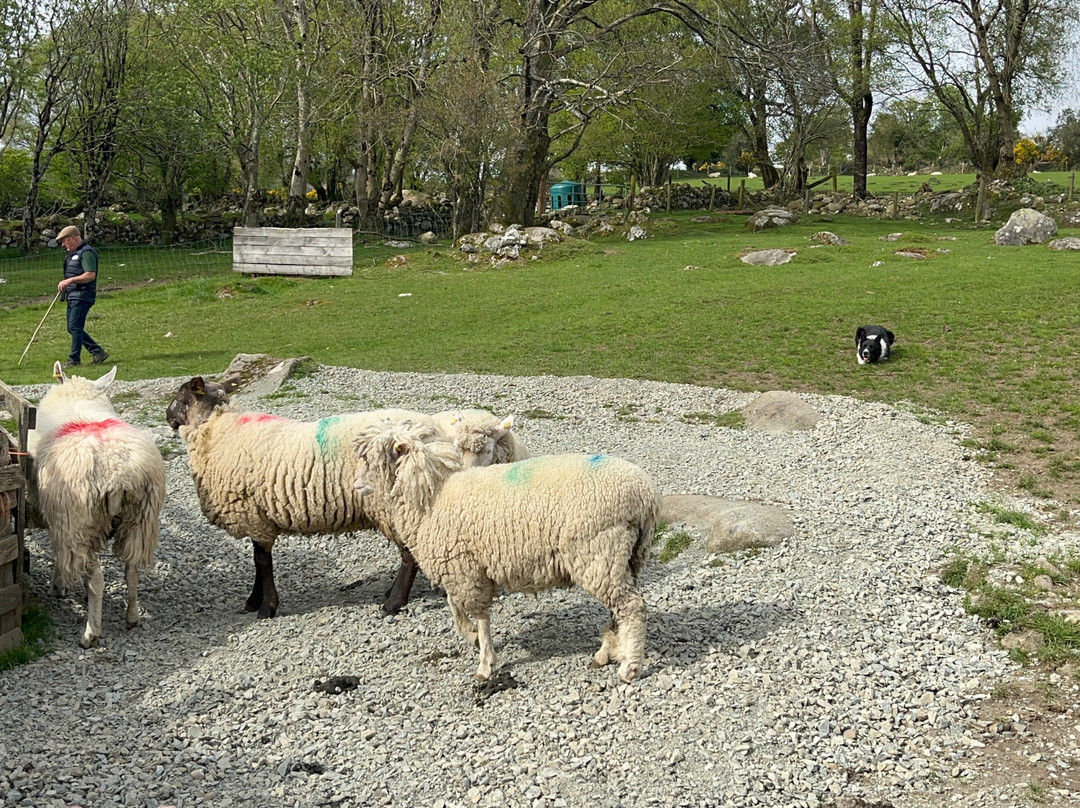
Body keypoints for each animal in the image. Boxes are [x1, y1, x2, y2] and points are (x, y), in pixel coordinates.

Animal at [31, 361, 166, 648]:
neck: (79, 400)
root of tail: (117, 474)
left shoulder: (57, 519)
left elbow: (59, 557)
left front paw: (59, 586)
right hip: (141, 519)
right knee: (131, 568)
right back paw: (132, 617)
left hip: (78, 524)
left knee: (97, 578)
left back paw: (91, 632)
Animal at [164, 376, 528, 617]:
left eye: (180, 397)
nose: (167, 418)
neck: (216, 430)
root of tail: (431, 432)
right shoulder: (257, 516)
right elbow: (258, 561)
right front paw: (253, 600)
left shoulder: (254, 514)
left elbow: (262, 562)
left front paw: (267, 606)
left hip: (391, 503)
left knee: (408, 555)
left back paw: (392, 603)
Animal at [352, 419, 660, 683]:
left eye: (373, 459)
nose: (355, 485)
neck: (431, 497)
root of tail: (645, 494)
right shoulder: (463, 566)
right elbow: (454, 607)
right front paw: (472, 637)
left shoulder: (465, 570)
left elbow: (479, 615)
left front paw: (485, 662)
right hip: (625, 558)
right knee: (619, 610)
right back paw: (607, 653)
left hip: (598, 552)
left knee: (632, 608)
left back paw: (630, 667)